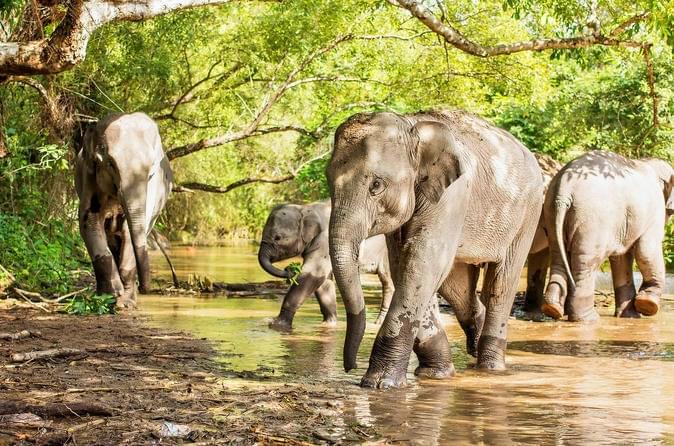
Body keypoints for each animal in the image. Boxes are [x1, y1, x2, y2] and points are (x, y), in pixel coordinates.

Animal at [74, 111, 173, 308]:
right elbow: (89, 222)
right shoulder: (89, 176)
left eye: (151, 170)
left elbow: (130, 230)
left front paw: (125, 303)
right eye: (110, 164)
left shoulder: (153, 185)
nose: (145, 288)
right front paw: (109, 295)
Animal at [258, 200, 394, 330]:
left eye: (277, 237)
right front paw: (328, 324)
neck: (306, 208)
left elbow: (312, 274)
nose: (289, 269)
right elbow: (324, 282)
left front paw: (277, 324)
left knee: (388, 283)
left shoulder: (326, 241)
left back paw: (379, 324)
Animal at [326, 109, 540, 386]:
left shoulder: (453, 194)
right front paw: (435, 374)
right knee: (457, 287)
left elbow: (422, 260)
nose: (349, 367)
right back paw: (474, 349)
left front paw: (380, 383)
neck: (412, 127)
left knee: (502, 282)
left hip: (528, 213)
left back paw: (490, 367)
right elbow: (406, 264)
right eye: (328, 181)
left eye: (376, 185)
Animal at [540, 152, 672, 322]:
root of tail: (565, 187)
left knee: (558, 257)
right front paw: (647, 305)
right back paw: (589, 319)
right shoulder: (654, 209)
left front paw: (629, 316)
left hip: (551, 210)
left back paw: (553, 309)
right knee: (586, 264)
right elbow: (646, 250)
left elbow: (621, 259)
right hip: (592, 219)